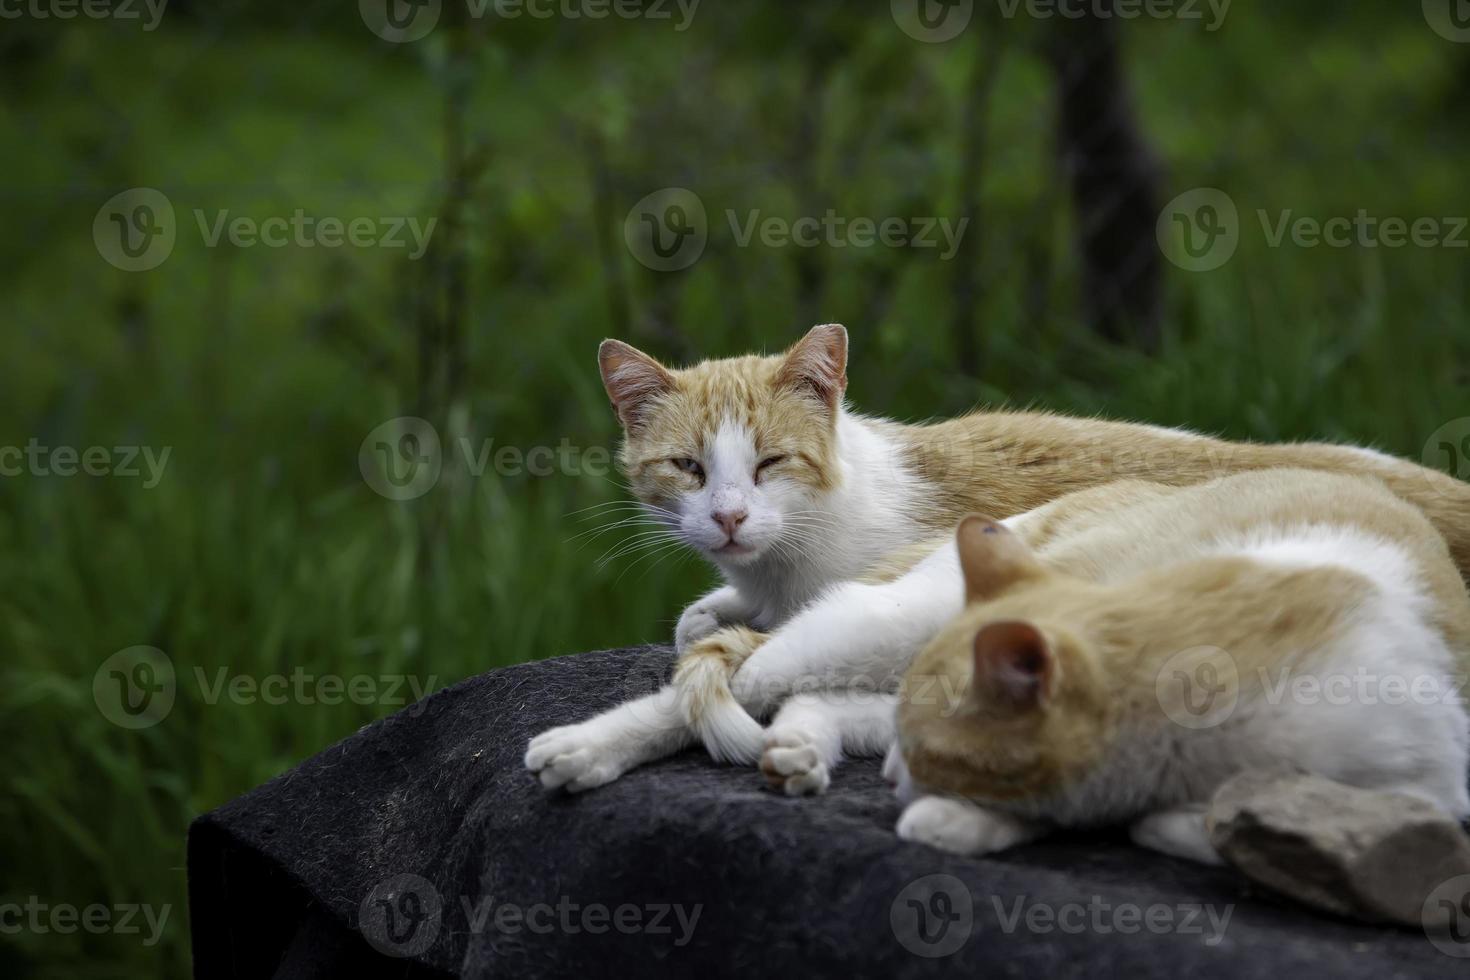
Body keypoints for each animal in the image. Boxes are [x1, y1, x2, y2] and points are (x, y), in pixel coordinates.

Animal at [526, 323, 1470, 799]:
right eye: (688, 468)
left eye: (769, 464)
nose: (727, 516)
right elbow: (712, 626)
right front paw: (708, 611)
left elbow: (727, 666)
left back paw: (585, 746)